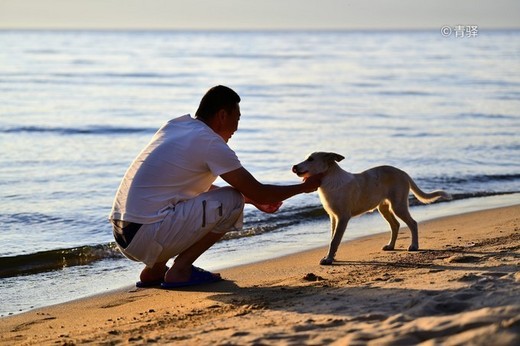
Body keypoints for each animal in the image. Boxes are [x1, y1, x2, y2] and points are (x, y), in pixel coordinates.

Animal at [292, 151, 450, 264]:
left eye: (311, 159)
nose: (294, 167)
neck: (328, 180)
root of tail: (403, 173)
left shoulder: (343, 217)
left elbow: (335, 240)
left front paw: (329, 259)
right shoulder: (333, 217)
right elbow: (332, 238)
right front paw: (330, 257)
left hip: (398, 205)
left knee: (413, 223)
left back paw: (414, 246)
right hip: (384, 208)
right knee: (396, 225)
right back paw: (390, 246)